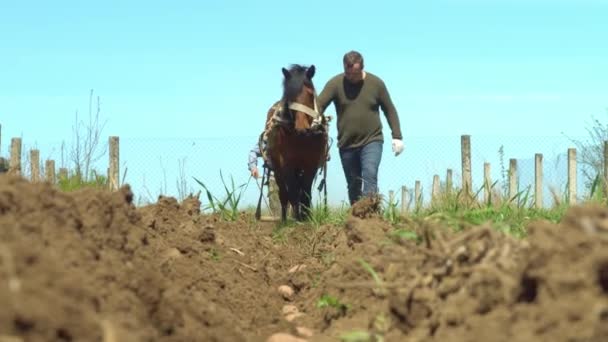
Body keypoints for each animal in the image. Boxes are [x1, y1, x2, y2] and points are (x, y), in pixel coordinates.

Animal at [260, 65, 330, 222]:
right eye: (289, 97)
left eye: (310, 93)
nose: (301, 128)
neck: (302, 139)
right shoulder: (286, 164)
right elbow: (291, 190)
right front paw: (297, 219)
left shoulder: (311, 164)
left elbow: (305, 191)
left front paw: (306, 217)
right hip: (277, 169)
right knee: (283, 194)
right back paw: (285, 218)